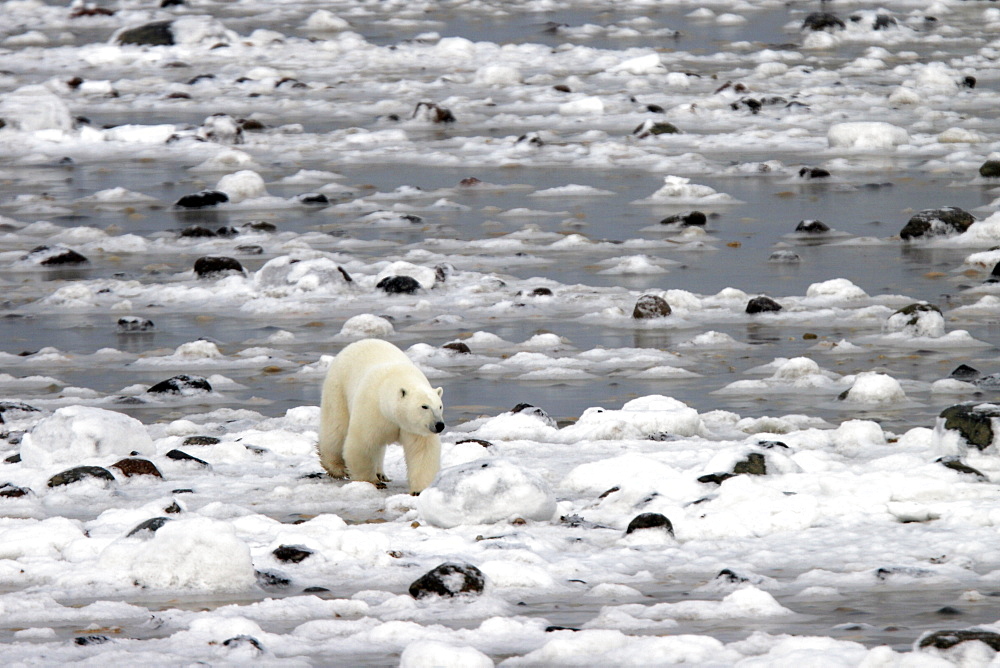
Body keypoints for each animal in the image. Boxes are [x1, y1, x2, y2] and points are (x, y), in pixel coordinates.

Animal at [320, 340, 446, 490]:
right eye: (424, 406)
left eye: (440, 406)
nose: (439, 425)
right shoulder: (373, 409)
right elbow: (362, 444)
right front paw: (372, 482)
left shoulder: (414, 429)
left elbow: (422, 451)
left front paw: (420, 489)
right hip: (338, 389)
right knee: (336, 428)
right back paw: (335, 467)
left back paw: (381, 473)